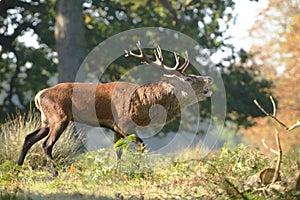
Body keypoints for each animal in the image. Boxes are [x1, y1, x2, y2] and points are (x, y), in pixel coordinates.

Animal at [17, 41, 213, 176]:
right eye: (188, 79)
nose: (208, 78)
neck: (144, 105)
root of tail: (38, 95)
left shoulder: (116, 128)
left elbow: (118, 151)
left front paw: (118, 174)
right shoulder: (123, 124)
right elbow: (142, 146)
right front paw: (138, 171)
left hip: (46, 120)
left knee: (28, 138)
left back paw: (17, 168)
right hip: (59, 117)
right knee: (46, 144)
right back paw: (55, 173)